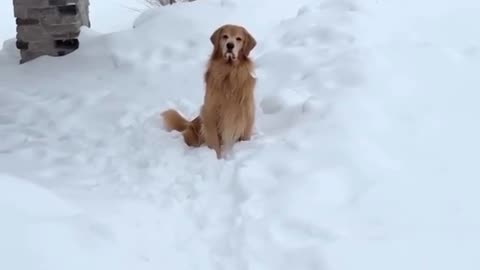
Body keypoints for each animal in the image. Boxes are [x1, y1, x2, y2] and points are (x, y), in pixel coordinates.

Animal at [161, 24, 256, 159]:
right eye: (225, 36)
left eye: (239, 39)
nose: (230, 45)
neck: (229, 74)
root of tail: (189, 123)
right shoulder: (210, 114)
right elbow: (214, 143)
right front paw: (217, 158)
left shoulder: (247, 114)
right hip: (191, 133)